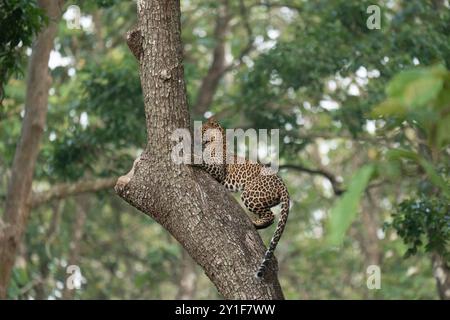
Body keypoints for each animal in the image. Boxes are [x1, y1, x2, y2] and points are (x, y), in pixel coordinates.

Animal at [199, 117, 290, 278]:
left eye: (203, 129)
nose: (197, 136)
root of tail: (282, 183)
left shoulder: (218, 172)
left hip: (250, 194)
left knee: (271, 216)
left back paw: (255, 223)